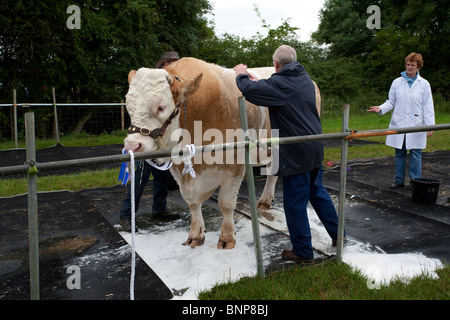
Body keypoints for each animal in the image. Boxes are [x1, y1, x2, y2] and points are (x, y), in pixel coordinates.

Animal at [123, 57, 320, 250]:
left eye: (161, 107)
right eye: (128, 107)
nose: (132, 146)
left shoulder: (235, 163)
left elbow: (226, 203)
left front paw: (227, 237)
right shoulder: (180, 170)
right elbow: (192, 202)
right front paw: (196, 234)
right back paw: (265, 200)